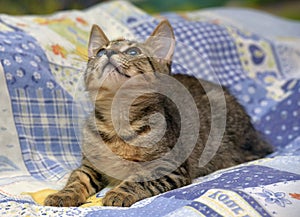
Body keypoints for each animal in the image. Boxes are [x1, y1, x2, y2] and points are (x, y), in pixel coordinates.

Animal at [44, 20, 272, 207]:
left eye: (133, 52)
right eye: (100, 51)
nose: (107, 53)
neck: (118, 120)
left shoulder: (169, 166)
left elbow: (140, 178)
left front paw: (119, 192)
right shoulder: (90, 165)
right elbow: (77, 179)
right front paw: (64, 194)